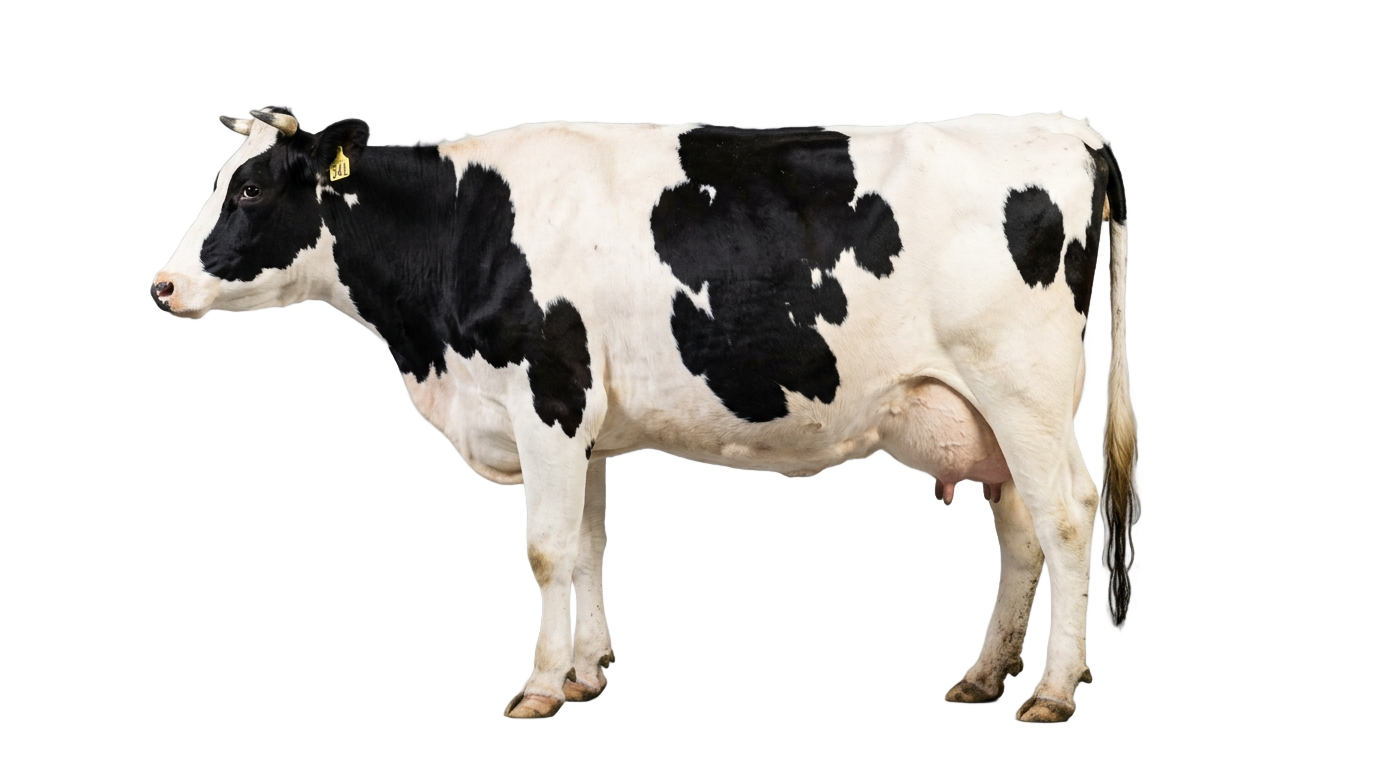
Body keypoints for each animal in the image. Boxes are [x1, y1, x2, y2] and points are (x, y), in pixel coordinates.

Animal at [149, 107, 1135, 723]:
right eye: (211, 182)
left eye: (248, 190)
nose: (161, 286)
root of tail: (1067, 130)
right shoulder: (580, 426)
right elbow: (585, 544)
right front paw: (586, 674)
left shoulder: (548, 395)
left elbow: (545, 551)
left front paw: (540, 689)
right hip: (993, 413)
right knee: (1023, 530)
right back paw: (983, 680)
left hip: (1025, 389)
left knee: (1065, 524)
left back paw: (1052, 694)